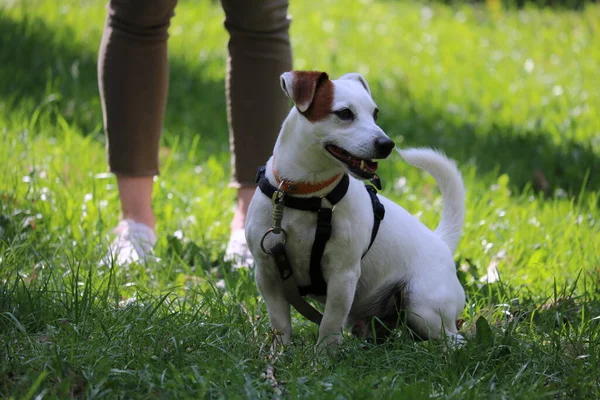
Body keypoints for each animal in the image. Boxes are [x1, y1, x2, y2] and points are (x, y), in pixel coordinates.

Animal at [245, 70, 468, 346]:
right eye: (344, 113)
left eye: (375, 114)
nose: (387, 143)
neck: (309, 196)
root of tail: (442, 242)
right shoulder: (268, 274)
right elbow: (280, 323)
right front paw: (281, 352)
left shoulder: (343, 276)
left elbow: (329, 325)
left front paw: (323, 356)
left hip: (423, 307)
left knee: (452, 338)